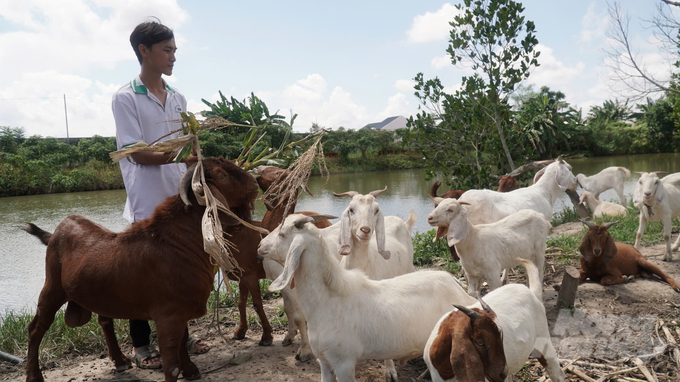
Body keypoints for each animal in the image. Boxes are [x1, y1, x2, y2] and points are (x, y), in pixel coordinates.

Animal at [23, 158, 258, 382]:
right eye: (222, 175)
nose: (255, 183)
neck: (180, 242)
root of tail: (56, 231)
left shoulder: (179, 310)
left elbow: (183, 341)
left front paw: (191, 370)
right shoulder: (167, 315)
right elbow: (171, 365)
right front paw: (183, 370)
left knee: (104, 320)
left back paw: (119, 361)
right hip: (52, 287)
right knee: (36, 328)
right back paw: (33, 375)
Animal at [258, 213, 476, 382]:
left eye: (282, 234)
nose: (260, 246)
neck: (328, 300)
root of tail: (460, 291)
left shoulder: (344, 362)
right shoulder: (325, 362)